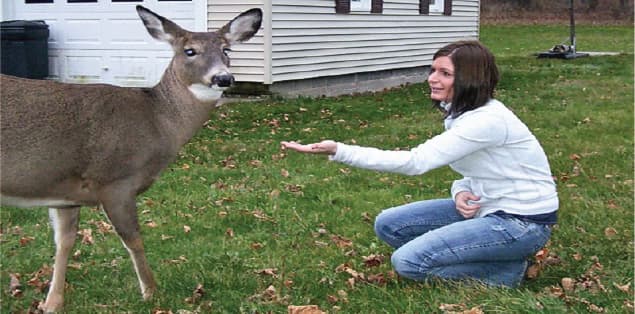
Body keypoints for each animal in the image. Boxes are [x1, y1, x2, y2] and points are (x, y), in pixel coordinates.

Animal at [0, 4, 264, 312]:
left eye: (226, 49)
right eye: (189, 50)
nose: (223, 78)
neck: (157, 121)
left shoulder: (66, 192)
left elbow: (64, 242)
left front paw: (52, 302)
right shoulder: (116, 181)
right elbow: (134, 240)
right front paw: (151, 291)